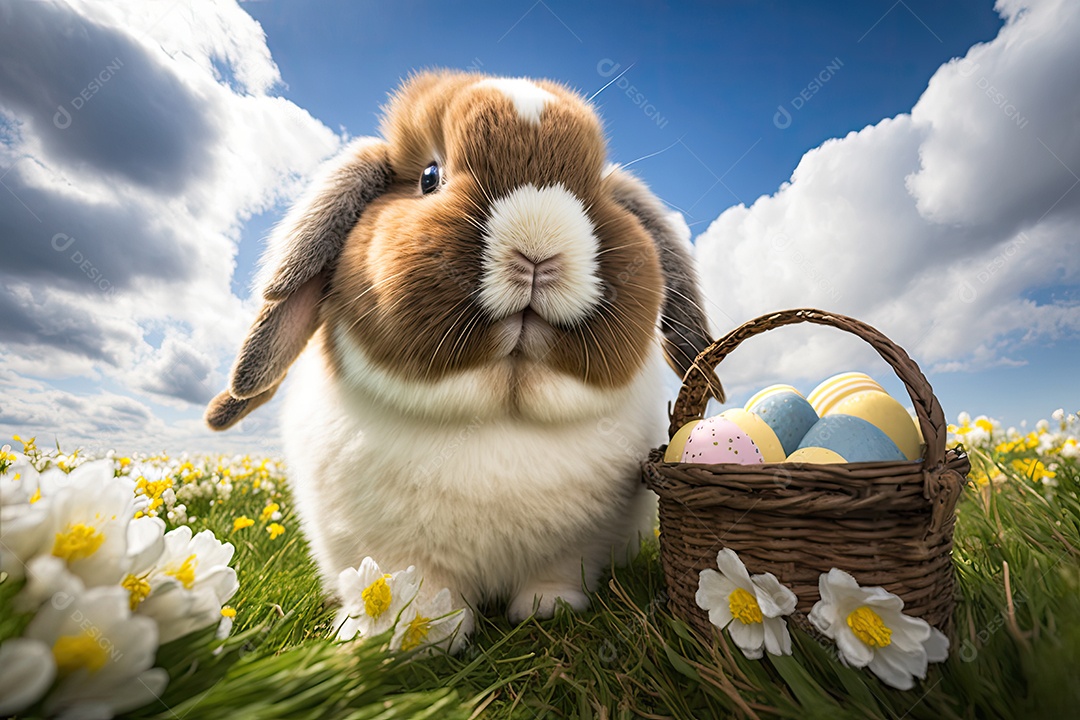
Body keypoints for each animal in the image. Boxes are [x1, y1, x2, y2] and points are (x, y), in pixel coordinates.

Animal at [205, 71, 721, 630]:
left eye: (596, 190)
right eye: (429, 176)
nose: (539, 244)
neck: (498, 412)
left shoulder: (576, 550)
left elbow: (557, 575)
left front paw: (547, 609)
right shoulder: (391, 552)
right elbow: (422, 589)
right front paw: (423, 632)